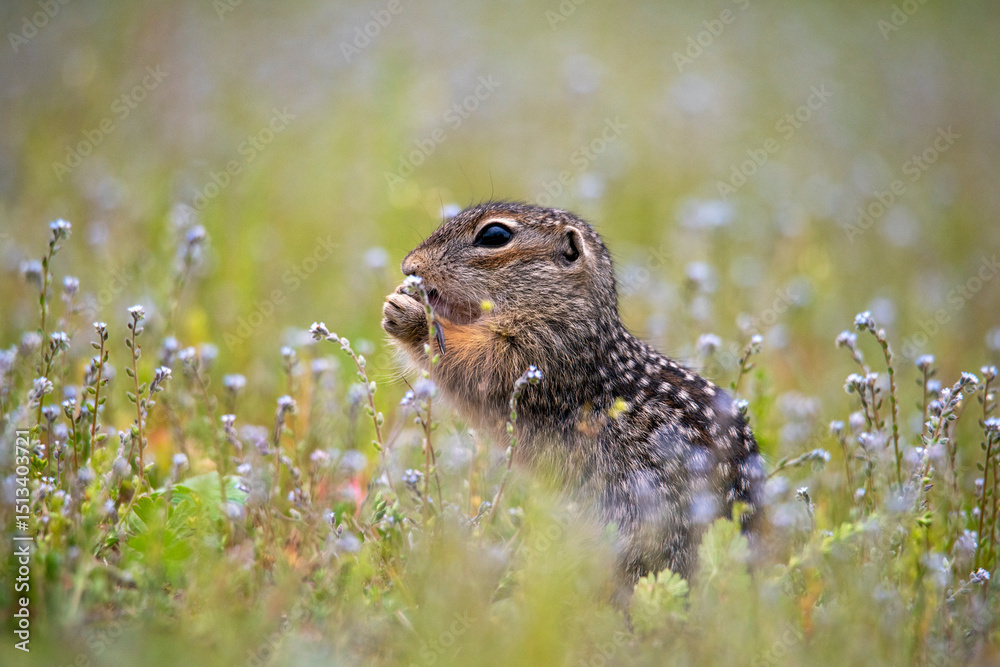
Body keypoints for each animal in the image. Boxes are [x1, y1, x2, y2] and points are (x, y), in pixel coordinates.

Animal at [381, 201, 764, 597]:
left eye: (495, 236)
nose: (410, 266)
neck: (567, 311)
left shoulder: (540, 352)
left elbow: (478, 368)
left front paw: (409, 315)